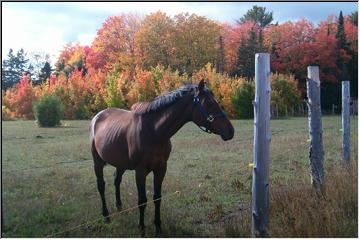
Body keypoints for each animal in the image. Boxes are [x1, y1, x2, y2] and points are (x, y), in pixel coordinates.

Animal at [89, 79, 235, 235]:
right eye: (209, 103)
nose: (230, 131)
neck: (154, 131)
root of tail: (98, 116)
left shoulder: (161, 168)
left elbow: (157, 198)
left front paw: (158, 227)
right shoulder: (140, 171)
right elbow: (142, 201)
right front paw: (142, 229)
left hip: (120, 163)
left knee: (117, 180)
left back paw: (119, 208)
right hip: (97, 162)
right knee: (101, 185)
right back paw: (106, 216)